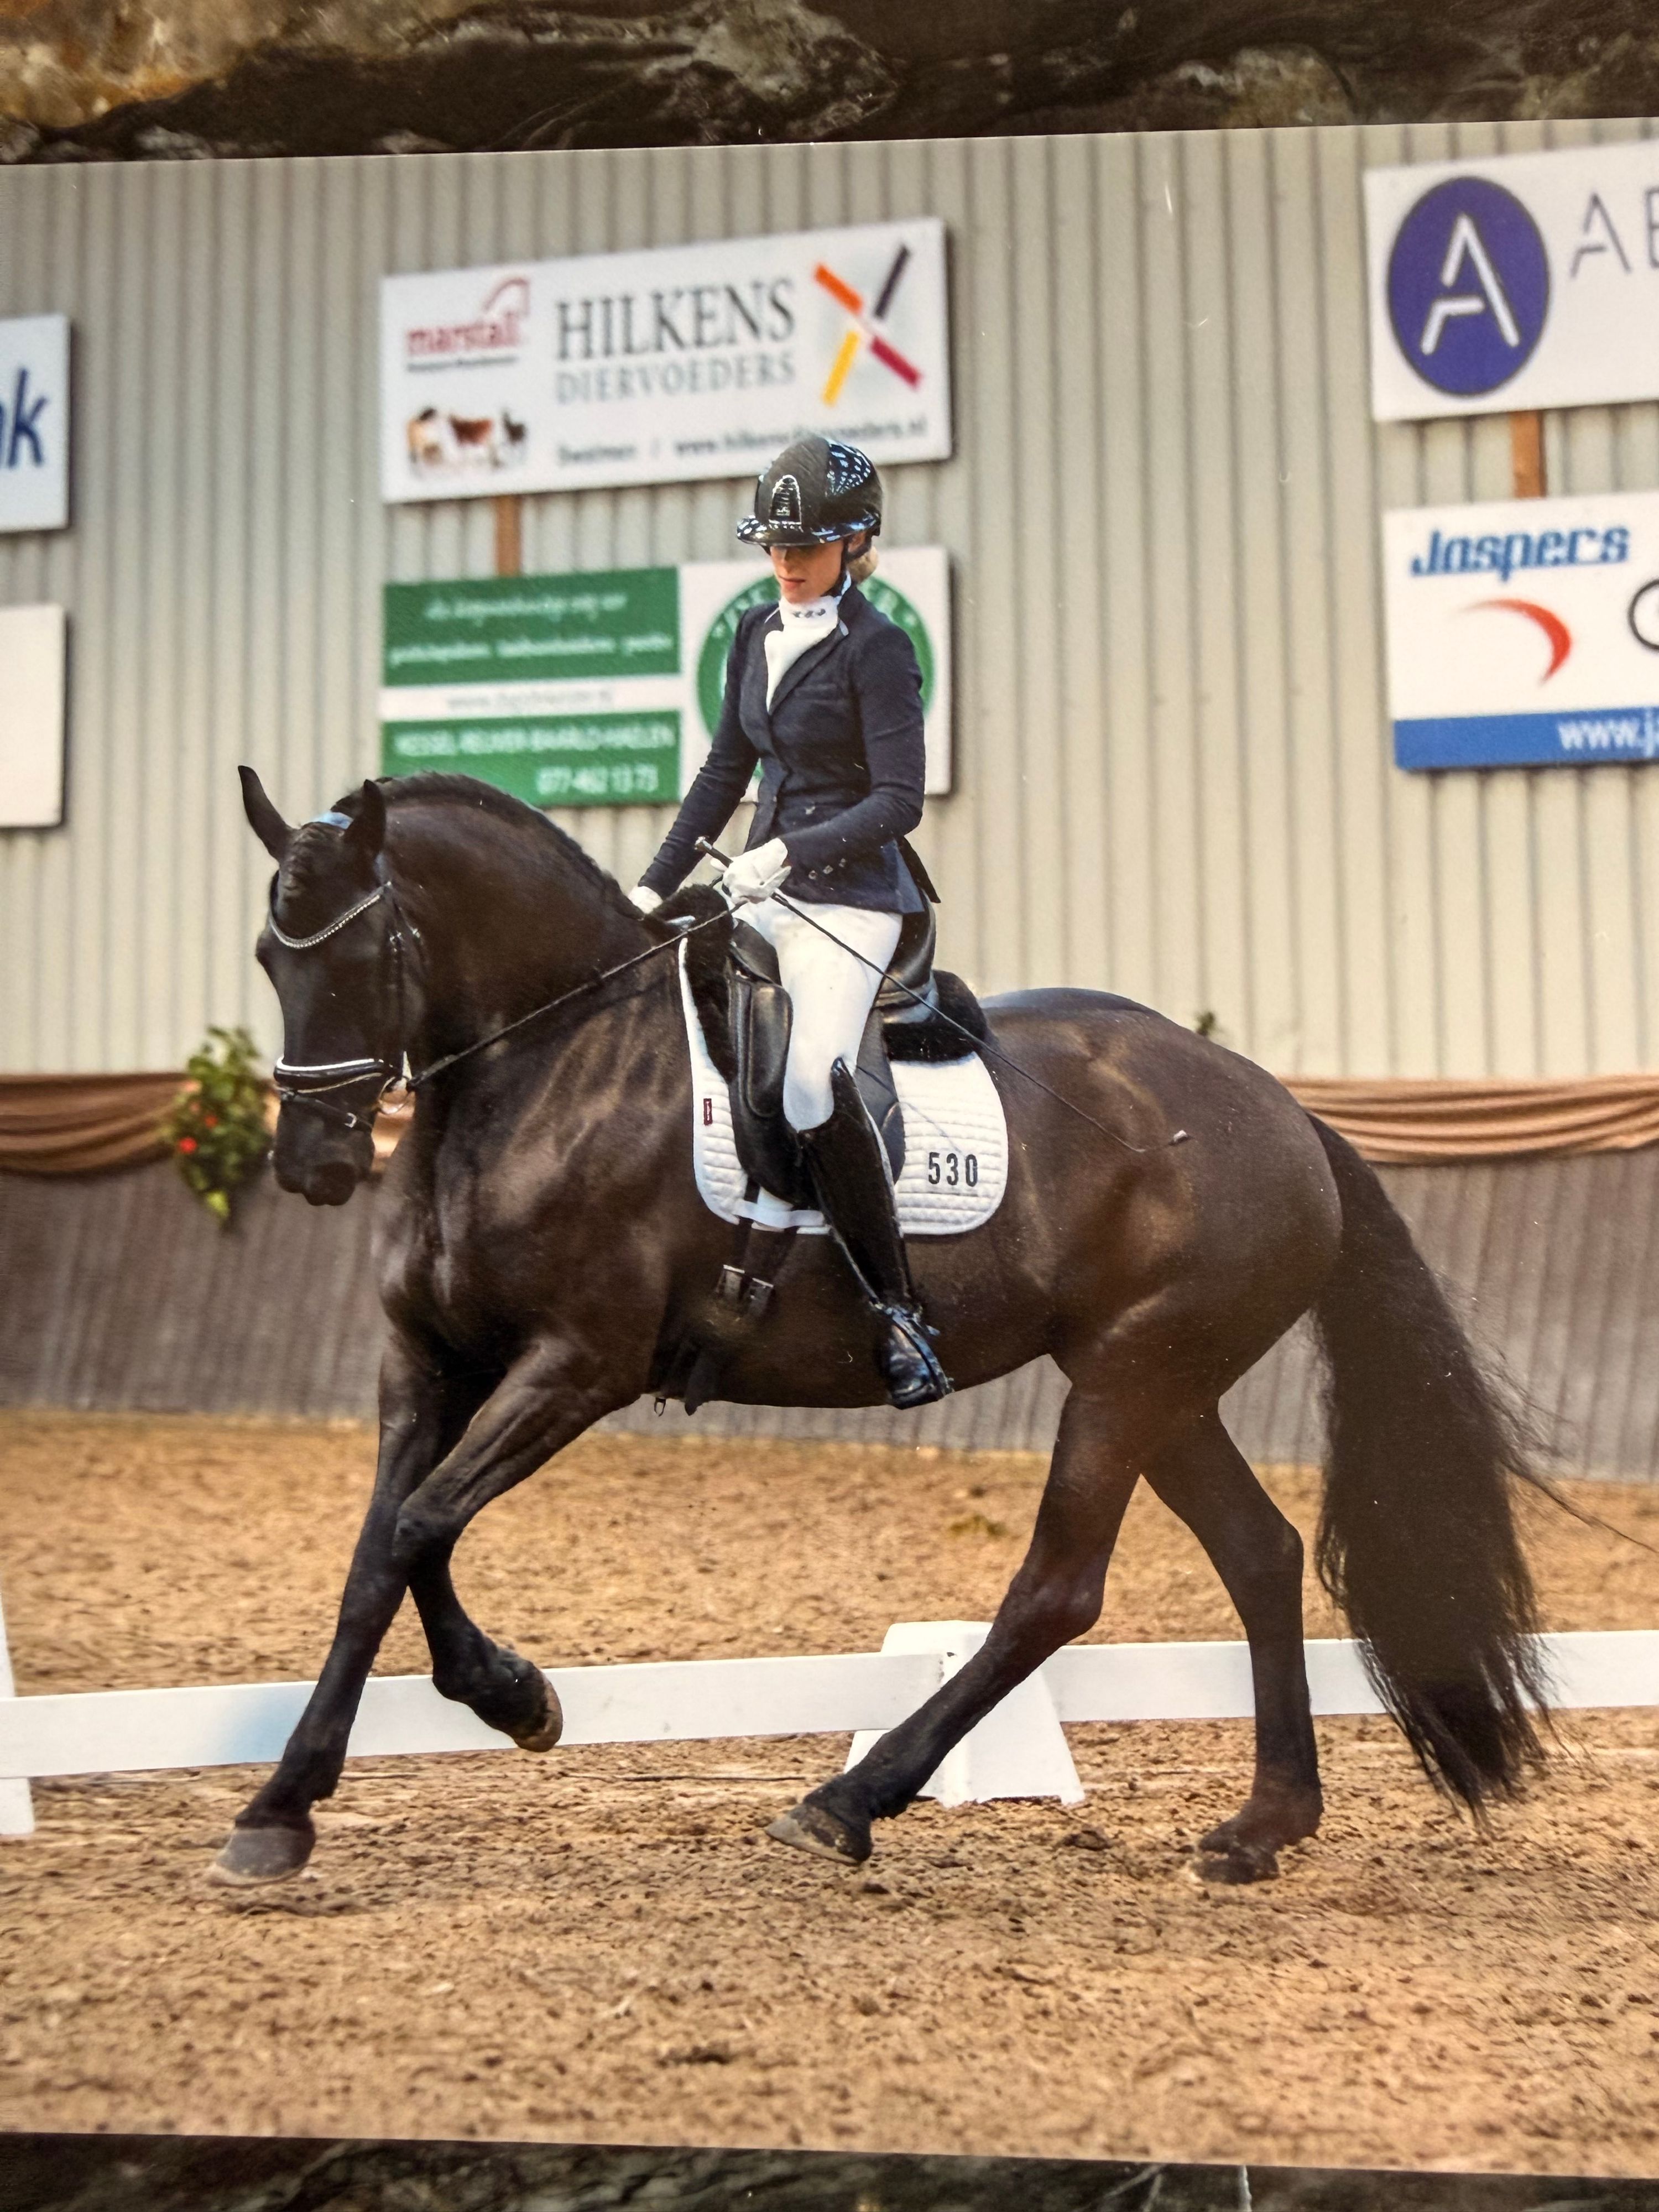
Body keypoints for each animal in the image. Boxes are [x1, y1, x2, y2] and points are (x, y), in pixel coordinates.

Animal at [212, 765, 1549, 1888]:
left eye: (369, 950)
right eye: (269, 958)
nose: (314, 1164)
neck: (549, 1065)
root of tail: (1283, 1110)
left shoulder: (577, 1365)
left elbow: (422, 1525)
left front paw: (512, 1697)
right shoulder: (427, 1364)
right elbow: (381, 1555)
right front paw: (284, 1808)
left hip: (1130, 1379)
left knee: (1058, 1590)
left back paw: (849, 1800)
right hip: (1163, 1386)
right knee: (1262, 1556)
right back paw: (1265, 1825)